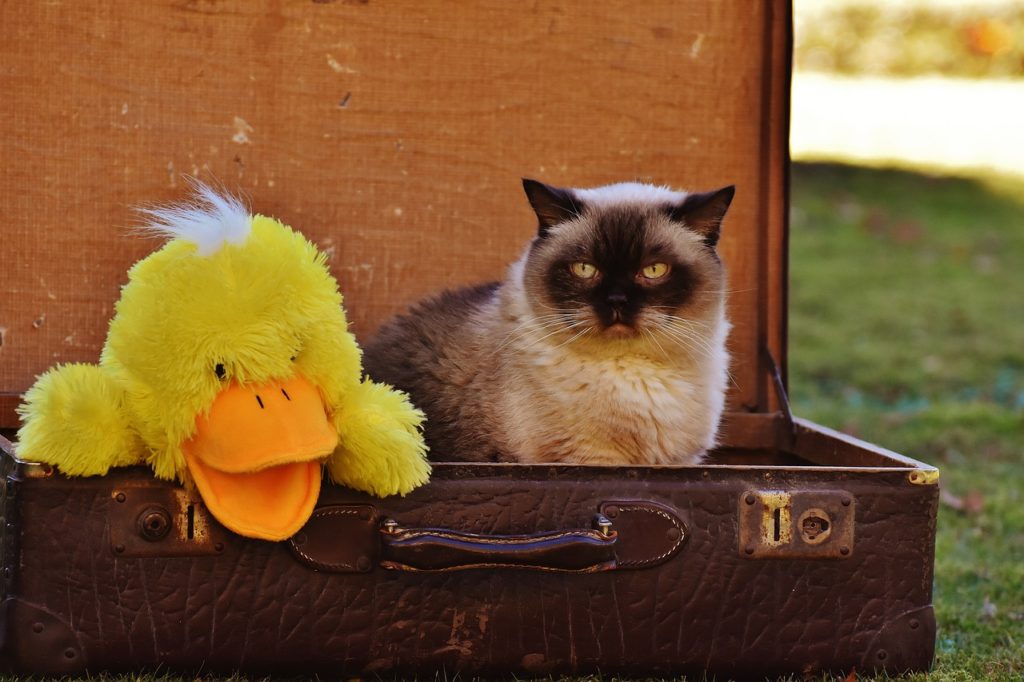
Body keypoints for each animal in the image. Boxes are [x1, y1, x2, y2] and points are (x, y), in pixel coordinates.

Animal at [364, 175, 733, 464]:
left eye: (654, 270)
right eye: (584, 269)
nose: (616, 301)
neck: (632, 374)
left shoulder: (678, 461)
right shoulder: (589, 459)